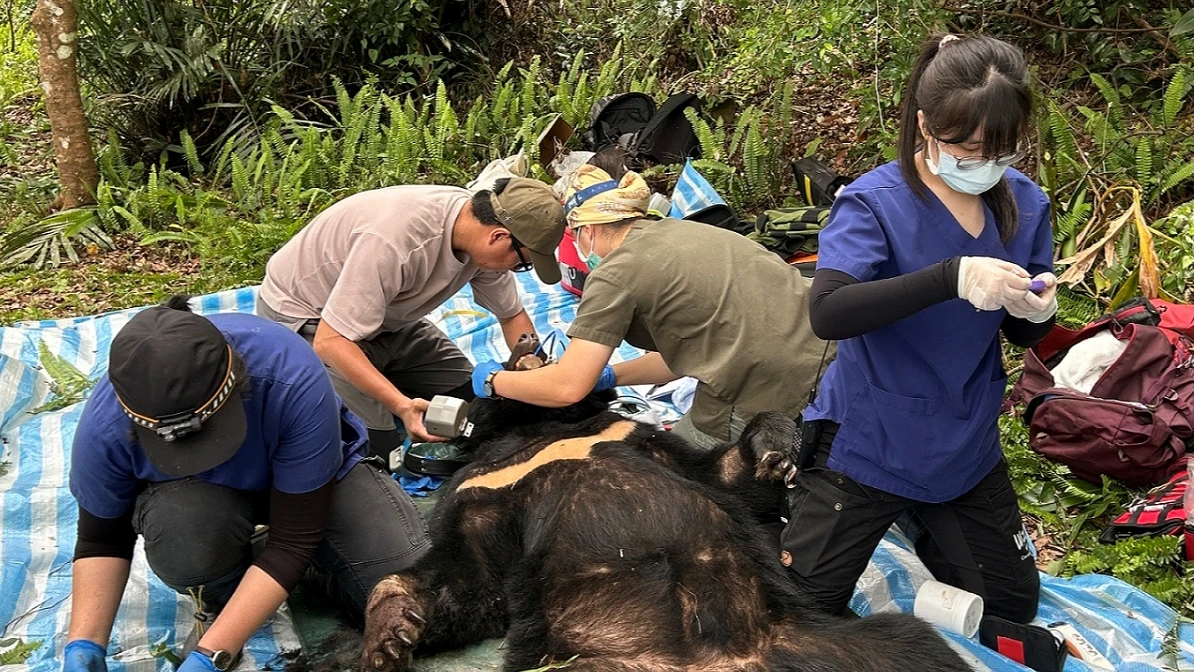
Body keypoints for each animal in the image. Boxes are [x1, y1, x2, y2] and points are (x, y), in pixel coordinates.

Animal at [360, 335, 972, 672]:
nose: (530, 341)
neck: (540, 428)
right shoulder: (482, 495)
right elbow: (469, 582)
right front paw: (390, 639)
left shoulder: (635, 437)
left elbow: (725, 477)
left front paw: (776, 449)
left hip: (852, 643)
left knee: (916, 649)